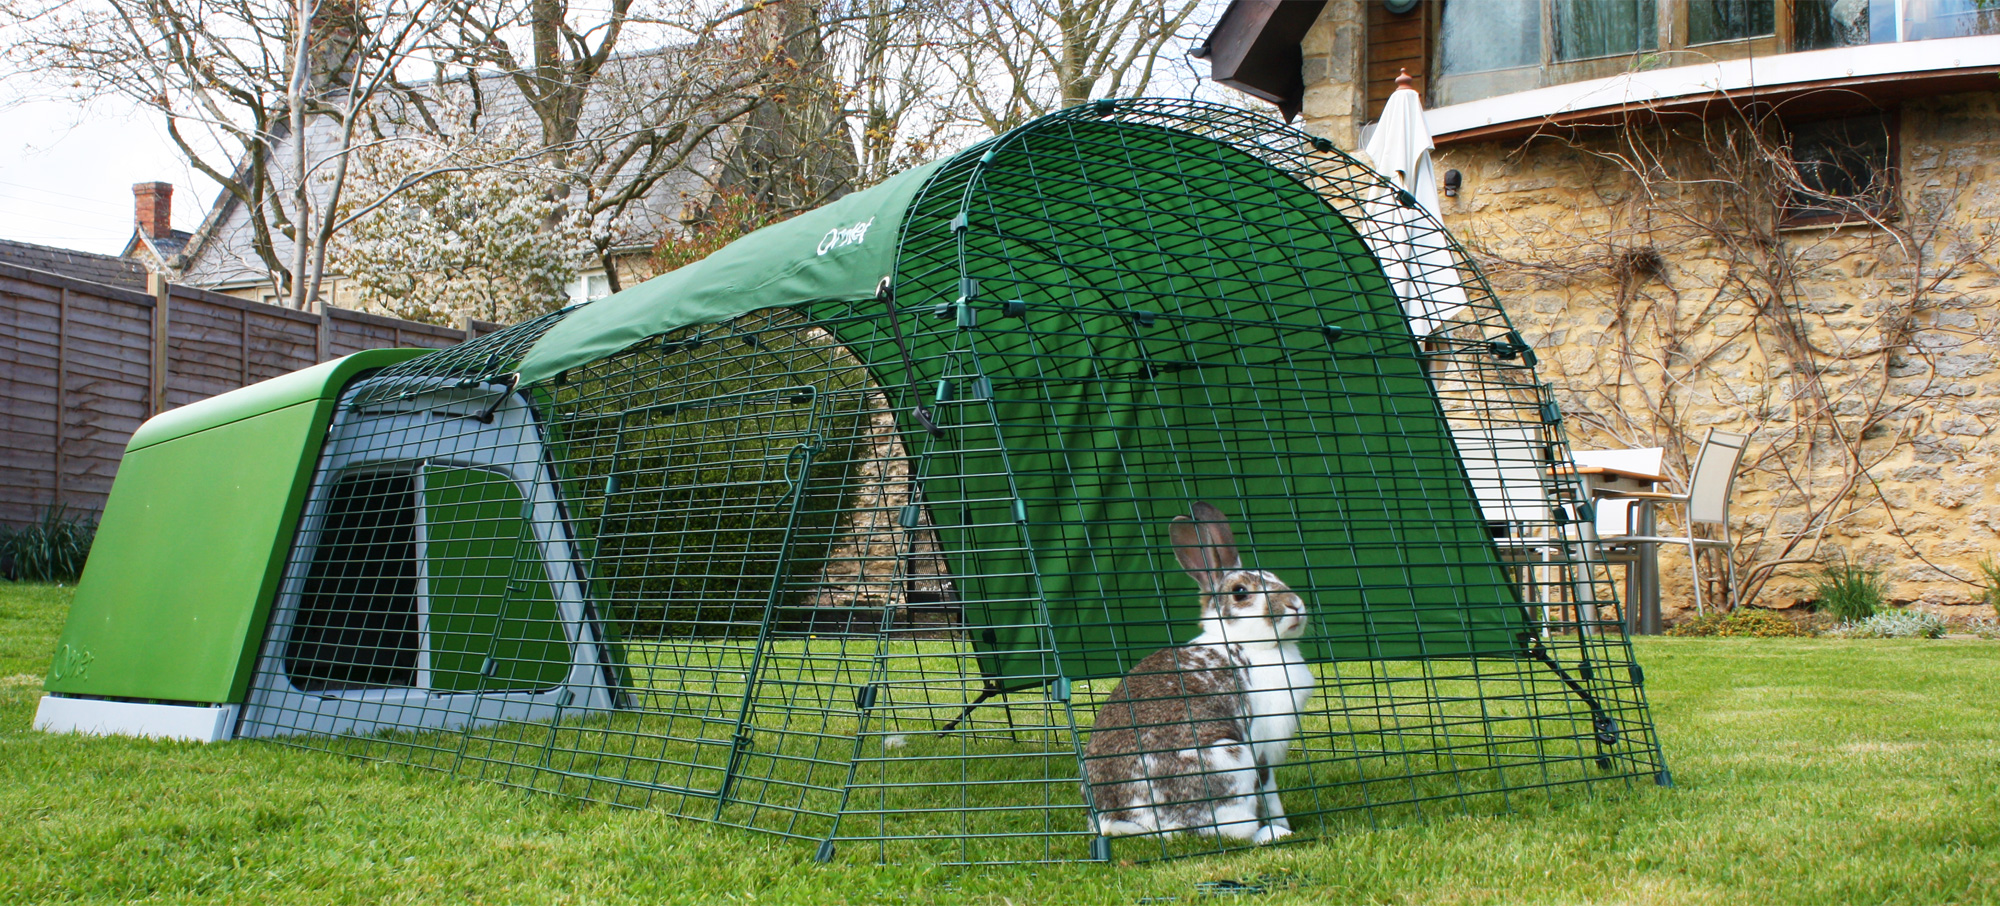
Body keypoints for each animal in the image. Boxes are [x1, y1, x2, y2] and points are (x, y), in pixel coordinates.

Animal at [1082, 502, 1314, 844]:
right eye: (1241, 592)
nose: (1295, 604)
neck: (1246, 643)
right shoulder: (1262, 745)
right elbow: (1270, 791)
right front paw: (1284, 825)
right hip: (1228, 758)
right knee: (1230, 831)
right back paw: (1269, 834)